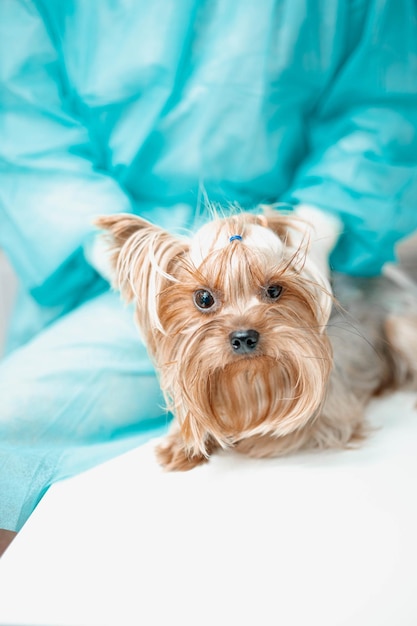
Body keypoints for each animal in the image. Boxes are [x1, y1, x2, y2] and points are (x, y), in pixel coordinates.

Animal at [97, 210, 416, 468]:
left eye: (274, 290)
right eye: (203, 298)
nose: (244, 337)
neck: (248, 378)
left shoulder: (333, 416)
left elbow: (280, 431)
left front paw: (242, 437)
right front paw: (184, 441)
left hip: (399, 326)